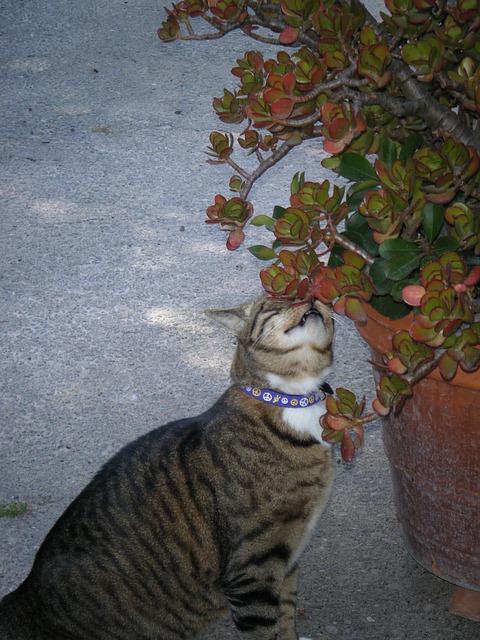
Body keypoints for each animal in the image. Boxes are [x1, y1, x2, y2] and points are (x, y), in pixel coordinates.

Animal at [0, 296, 336, 640]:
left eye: (308, 292)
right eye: (281, 300)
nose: (312, 296)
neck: (293, 400)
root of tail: (21, 597)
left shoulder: (288, 562)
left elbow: (286, 616)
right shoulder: (253, 572)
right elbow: (267, 628)